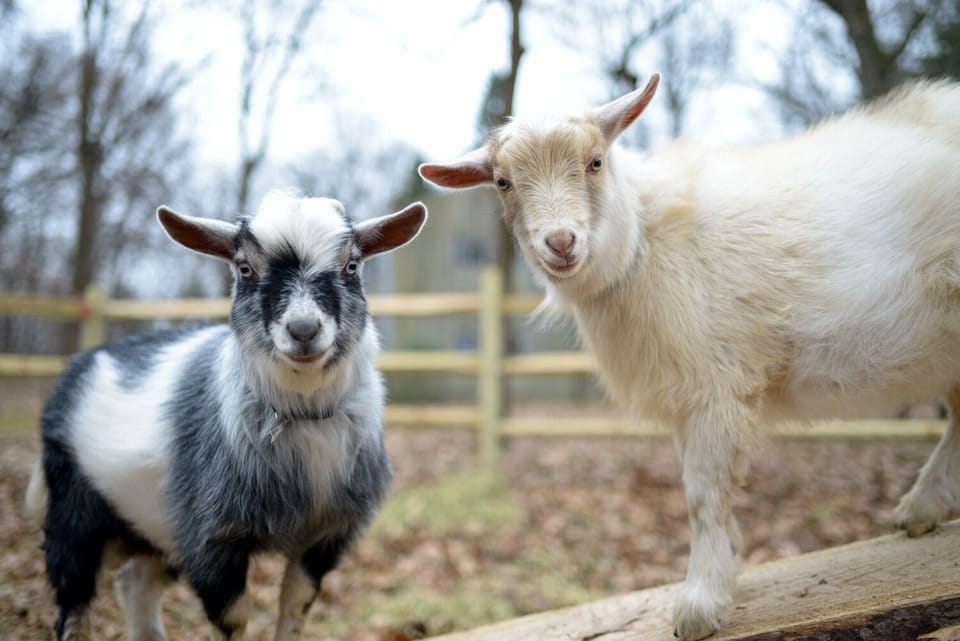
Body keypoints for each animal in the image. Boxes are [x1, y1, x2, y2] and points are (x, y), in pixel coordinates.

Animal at [26, 191, 427, 641]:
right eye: (245, 268)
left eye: (352, 266)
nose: (304, 330)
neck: (303, 416)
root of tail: (83, 362)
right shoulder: (211, 541)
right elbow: (234, 619)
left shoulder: (324, 537)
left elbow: (296, 608)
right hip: (75, 511)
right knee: (74, 597)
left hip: (156, 521)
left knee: (134, 585)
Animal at [419, 73, 960, 639]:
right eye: (502, 182)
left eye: (596, 161)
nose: (561, 242)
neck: (642, 242)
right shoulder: (685, 397)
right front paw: (729, 557)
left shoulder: (716, 388)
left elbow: (702, 496)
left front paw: (701, 602)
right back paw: (924, 506)